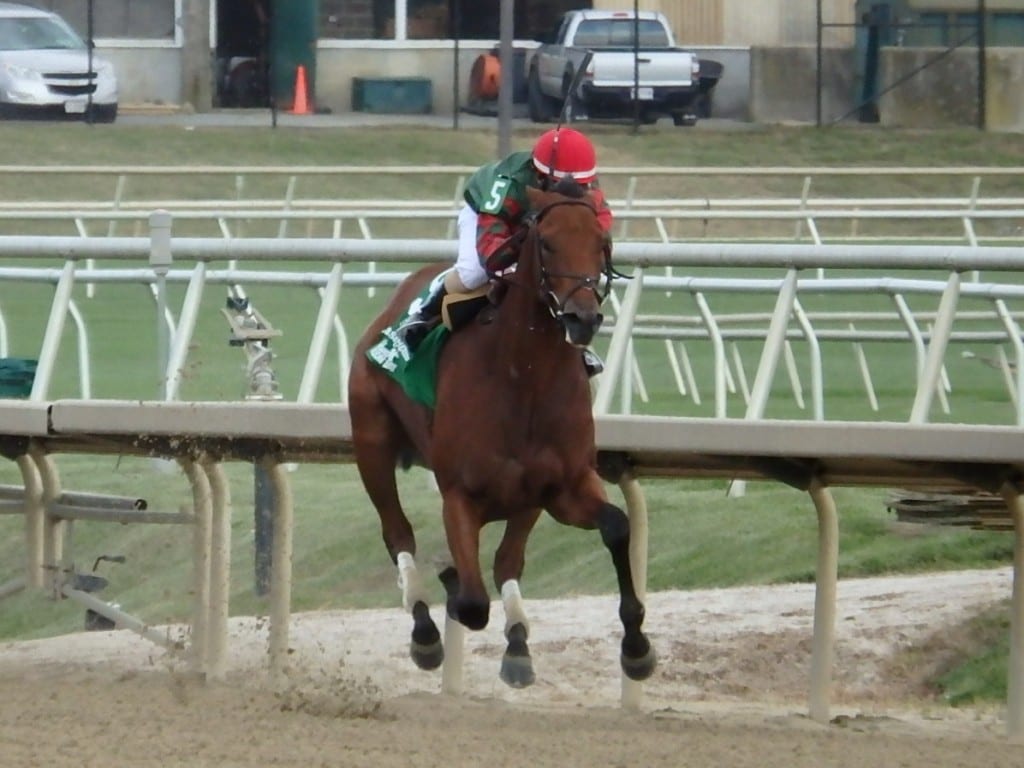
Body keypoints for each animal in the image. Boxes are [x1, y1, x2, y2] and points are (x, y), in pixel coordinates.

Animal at [350, 182, 655, 692]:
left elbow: (616, 526)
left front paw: (636, 646)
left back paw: (516, 646)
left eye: (602, 242)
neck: (523, 378)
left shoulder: (561, 487)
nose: (583, 317)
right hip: (371, 443)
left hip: (525, 500)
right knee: (398, 533)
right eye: (547, 242)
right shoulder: (458, 495)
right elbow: (472, 603)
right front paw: (450, 590)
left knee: (508, 560)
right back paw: (426, 631)